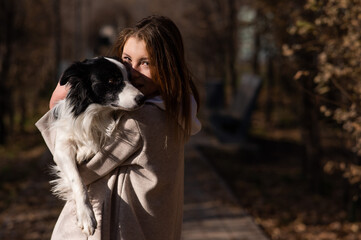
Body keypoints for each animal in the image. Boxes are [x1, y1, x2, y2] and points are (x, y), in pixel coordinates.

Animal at [48, 57, 144, 235]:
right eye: (112, 81)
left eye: (130, 78)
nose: (142, 98)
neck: (94, 113)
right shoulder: (61, 148)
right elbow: (77, 180)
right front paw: (86, 216)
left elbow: (96, 143)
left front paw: (84, 152)